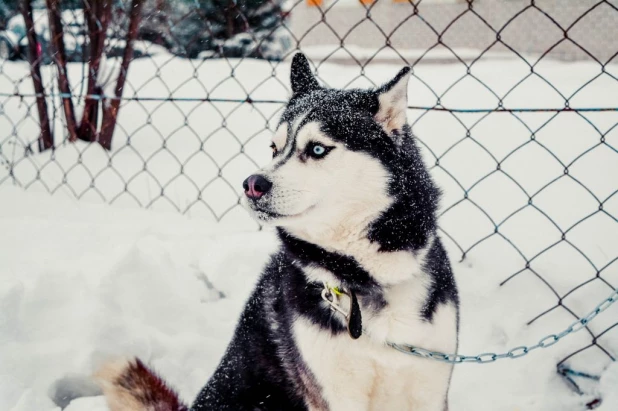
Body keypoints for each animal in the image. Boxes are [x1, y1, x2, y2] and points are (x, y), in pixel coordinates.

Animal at [100, 53, 458, 410]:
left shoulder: (430, 388)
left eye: (317, 149)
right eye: (274, 148)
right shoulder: (333, 393)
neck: (365, 278)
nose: (252, 184)